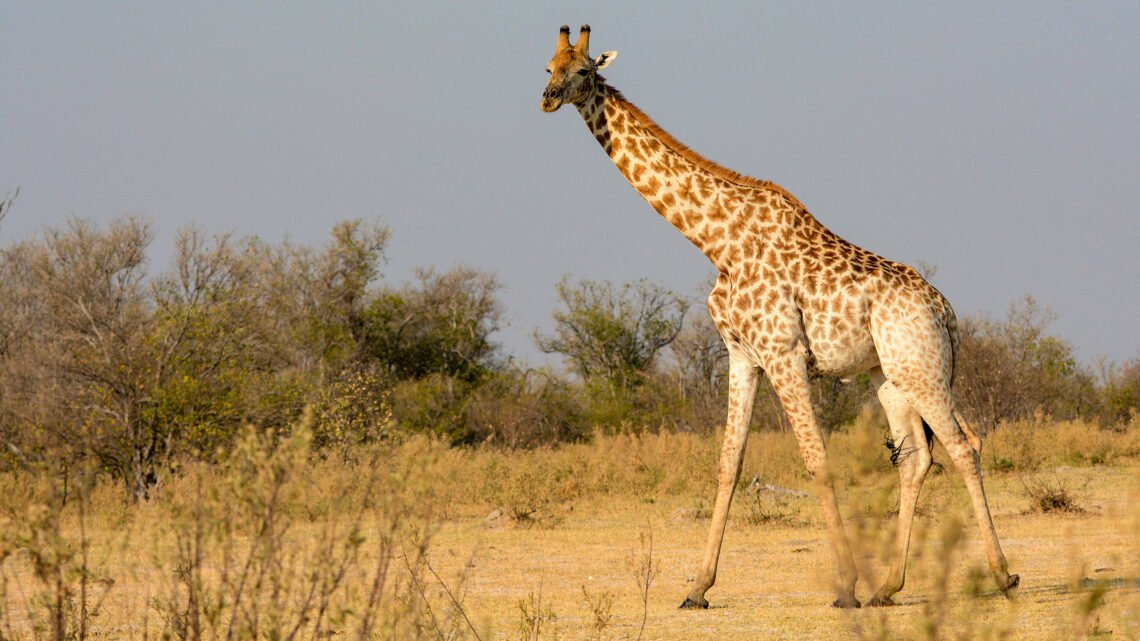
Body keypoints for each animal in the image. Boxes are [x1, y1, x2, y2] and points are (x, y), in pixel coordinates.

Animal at [541, 25, 1019, 609]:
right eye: (548, 67)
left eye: (583, 70)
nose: (547, 99)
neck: (716, 241)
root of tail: (946, 310)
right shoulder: (742, 354)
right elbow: (729, 462)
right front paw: (697, 588)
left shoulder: (783, 352)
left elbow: (817, 458)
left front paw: (845, 587)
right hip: (891, 376)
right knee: (918, 458)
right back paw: (889, 586)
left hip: (921, 367)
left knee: (964, 446)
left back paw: (1002, 575)